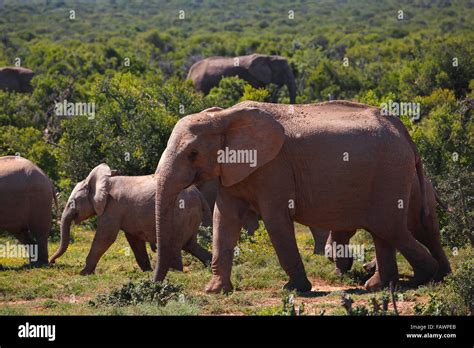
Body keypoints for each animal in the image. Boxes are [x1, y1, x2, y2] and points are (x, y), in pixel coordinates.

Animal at [50, 163, 211, 274]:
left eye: (71, 203)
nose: (52, 262)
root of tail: (200, 196)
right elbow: (134, 241)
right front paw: (147, 271)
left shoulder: (113, 206)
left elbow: (105, 237)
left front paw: (83, 273)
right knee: (190, 245)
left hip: (182, 213)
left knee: (175, 243)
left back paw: (175, 271)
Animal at [154, 100, 438, 294]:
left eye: (193, 154)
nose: (156, 284)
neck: (224, 117)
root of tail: (403, 131)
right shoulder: (232, 169)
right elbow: (224, 219)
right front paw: (215, 290)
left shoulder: (274, 168)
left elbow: (276, 220)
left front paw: (295, 289)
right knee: (384, 229)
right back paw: (379, 286)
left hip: (390, 171)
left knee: (388, 226)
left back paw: (428, 277)